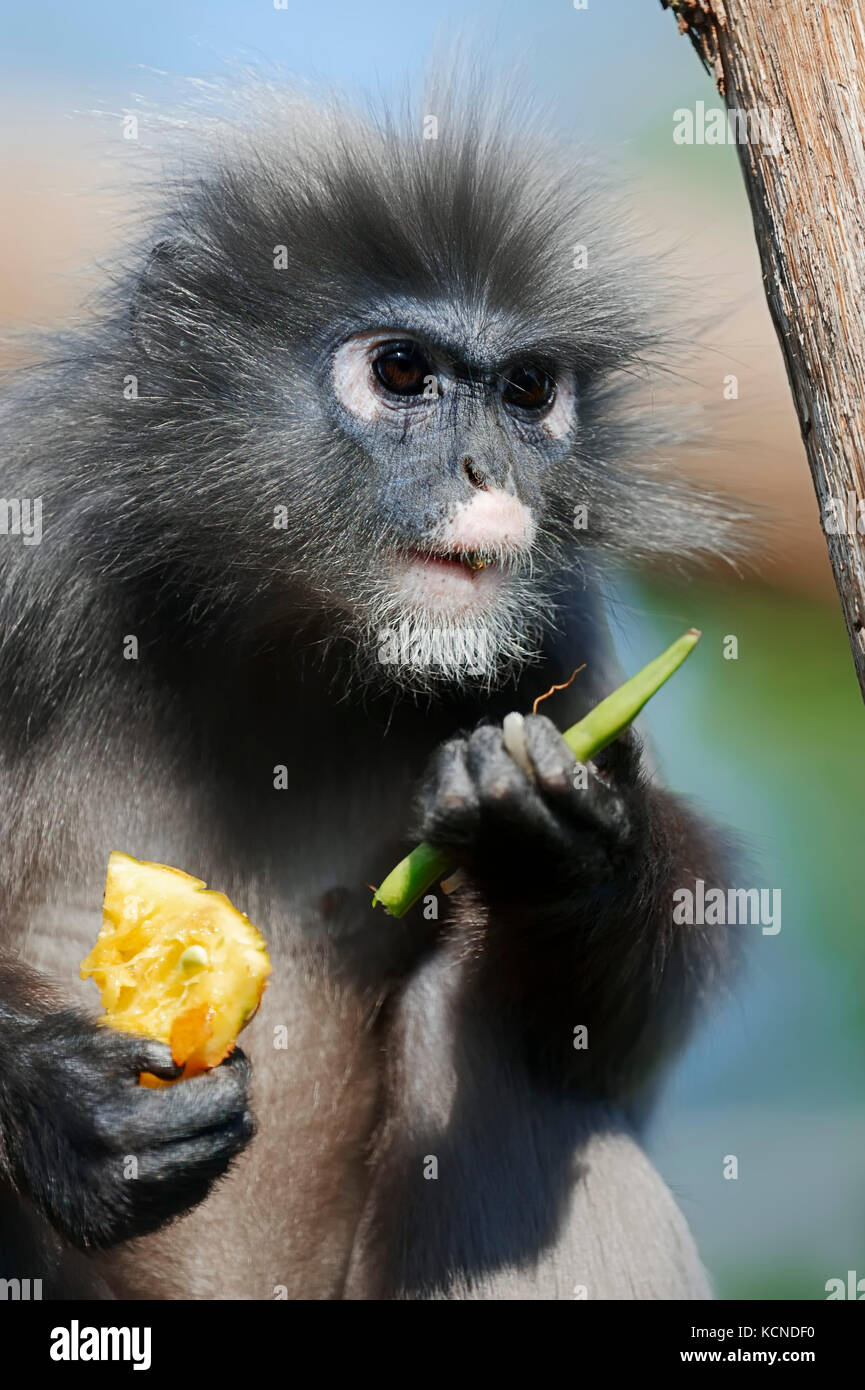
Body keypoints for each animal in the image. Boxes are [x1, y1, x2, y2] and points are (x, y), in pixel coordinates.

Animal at [0, 76, 739, 1295]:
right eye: (400, 374)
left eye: (528, 390)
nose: (487, 471)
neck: (272, 620)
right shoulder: (24, 540)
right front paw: (61, 1112)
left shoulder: (548, 627)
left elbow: (613, 1060)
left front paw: (565, 829)